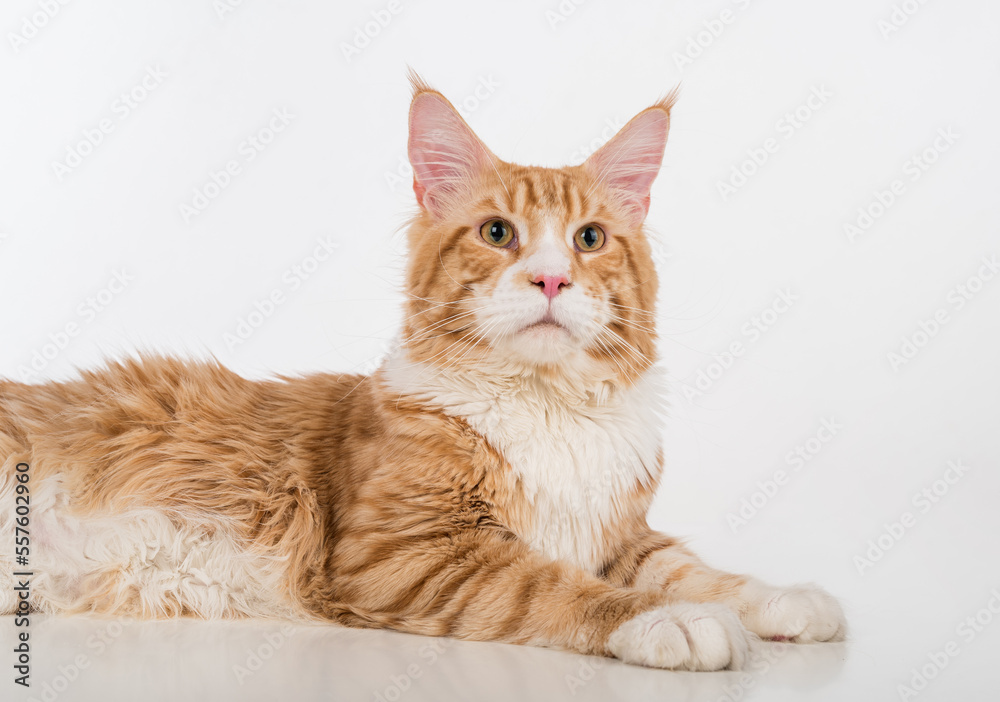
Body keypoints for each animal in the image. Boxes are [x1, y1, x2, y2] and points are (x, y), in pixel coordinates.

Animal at [0, 75, 844, 672]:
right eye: (499, 234)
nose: (550, 280)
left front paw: (782, 599)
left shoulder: (620, 533)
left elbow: (688, 565)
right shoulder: (405, 549)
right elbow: (552, 585)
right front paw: (665, 622)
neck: (549, 408)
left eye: (590, 238)